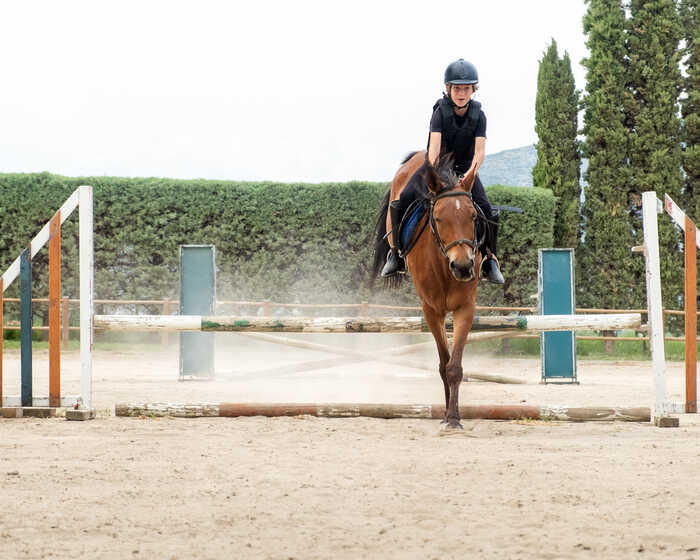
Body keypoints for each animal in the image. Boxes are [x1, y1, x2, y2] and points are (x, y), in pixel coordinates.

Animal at [371, 150, 484, 434]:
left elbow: (454, 366)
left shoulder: (465, 308)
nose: (463, 266)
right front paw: (446, 415)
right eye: (440, 218)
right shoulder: (432, 311)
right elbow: (444, 364)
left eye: (473, 217)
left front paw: (454, 417)